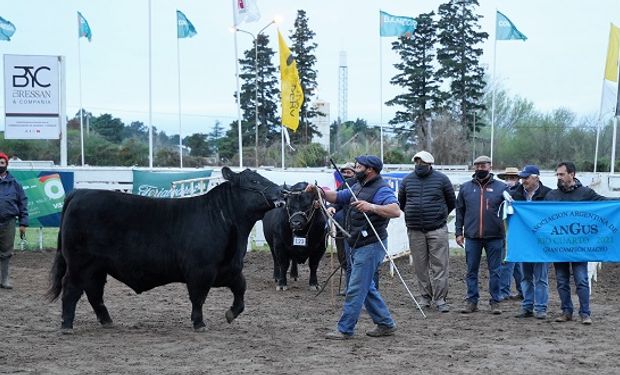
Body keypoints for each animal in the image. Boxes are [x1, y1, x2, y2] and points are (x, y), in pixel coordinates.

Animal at [47, 169, 284, 334]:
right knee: (72, 290)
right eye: (253, 181)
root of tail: (80, 193)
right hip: (78, 264)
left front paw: (231, 314)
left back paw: (107, 321)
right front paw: (199, 323)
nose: (282, 191)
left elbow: (241, 289)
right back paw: (67, 325)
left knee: (94, 291)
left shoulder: (230, 269)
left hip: (97, 267)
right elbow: (198, 298)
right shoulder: (200, 271)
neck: (223, 219)